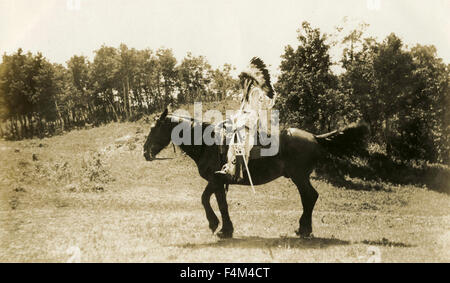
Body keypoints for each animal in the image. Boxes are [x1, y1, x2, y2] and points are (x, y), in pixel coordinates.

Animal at [142, 108, 368, 240]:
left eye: (154, 128)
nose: (145, 152)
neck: (209, 144)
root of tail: (314, 137)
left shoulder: (216, 180)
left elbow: (215, 202)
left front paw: (221, 228)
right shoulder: (216, 180)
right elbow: (210, 200)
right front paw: (220, 226)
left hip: (299, 177)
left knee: (310, 197)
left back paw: (304, 230)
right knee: (309, 198)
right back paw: (304, 229)